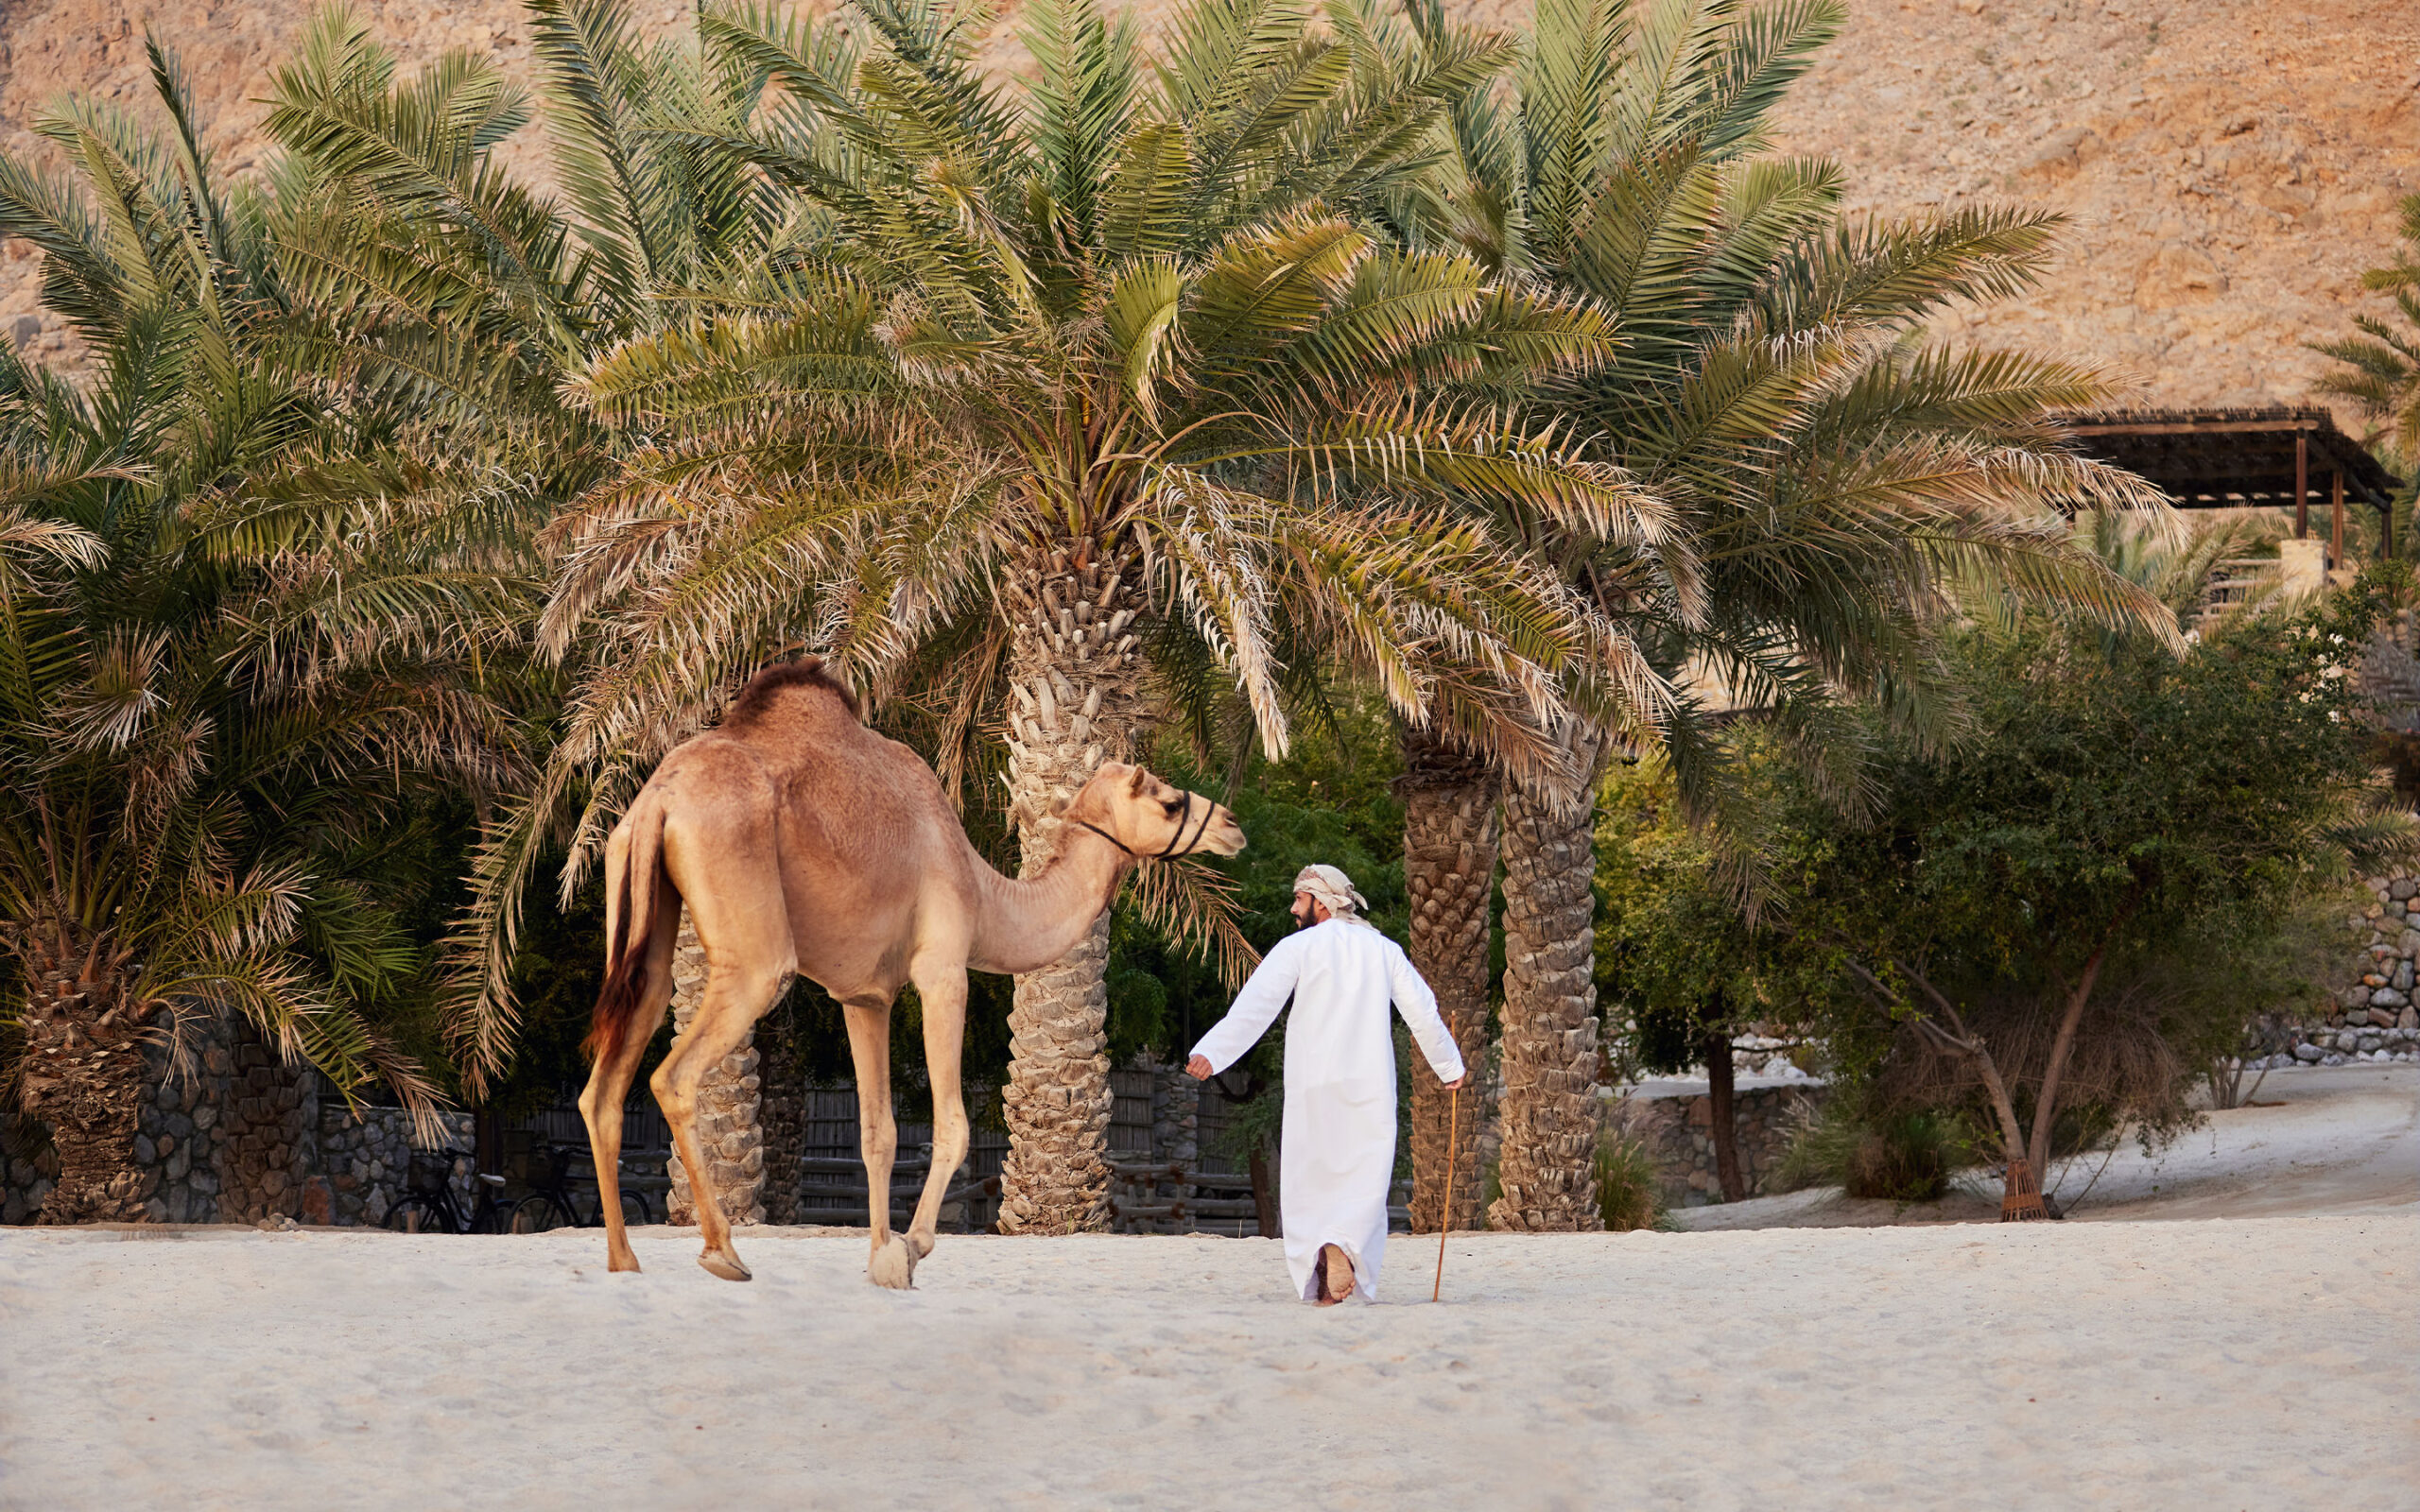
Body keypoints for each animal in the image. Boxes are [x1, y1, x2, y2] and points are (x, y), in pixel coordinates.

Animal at [575, 659, 1245, 1287]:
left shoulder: (864, 997)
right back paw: (723, 1252)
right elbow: (952, 1124)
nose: (1232, 825)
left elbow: (878, 1133)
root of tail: (660, 800)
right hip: (752, 937)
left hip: (637, 903)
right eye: (1170, 802)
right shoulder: (943, 969)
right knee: (676, 1073)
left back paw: (623, 1260)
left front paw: (878, 1258)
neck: (983, 889)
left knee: (607, 1078)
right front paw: (910, 1250)